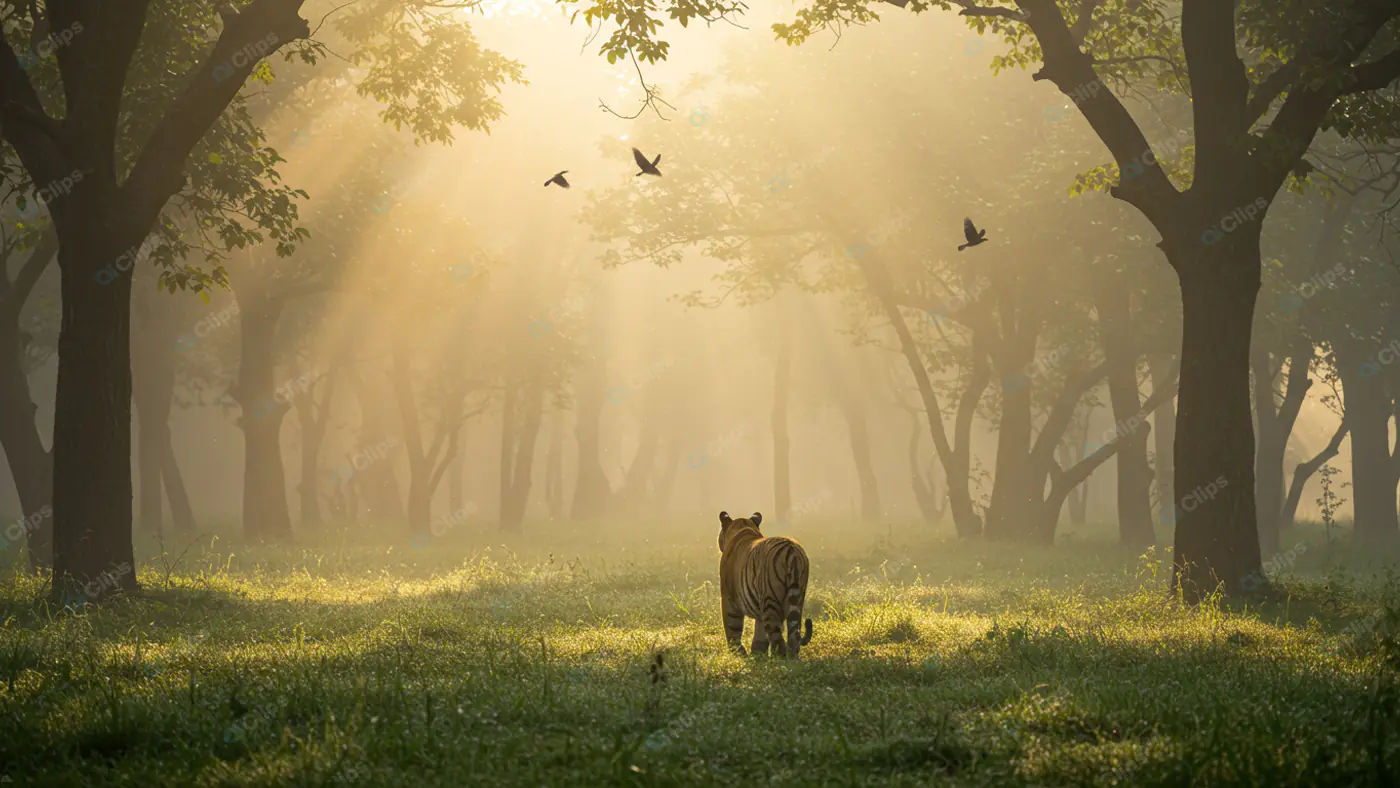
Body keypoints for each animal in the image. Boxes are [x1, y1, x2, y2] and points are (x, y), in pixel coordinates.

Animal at [718, 510, 813, 658]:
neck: (743, 527)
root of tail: (792, 552)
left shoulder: (728, 599)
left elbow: (732, 628)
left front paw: (738, 654)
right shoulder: (759, 611)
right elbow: (760, 636)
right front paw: (757, 655)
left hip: (770, 600)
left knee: (777, 639)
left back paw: (777, 660)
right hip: (798, 598)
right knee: (793, 634)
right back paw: (792, 658)